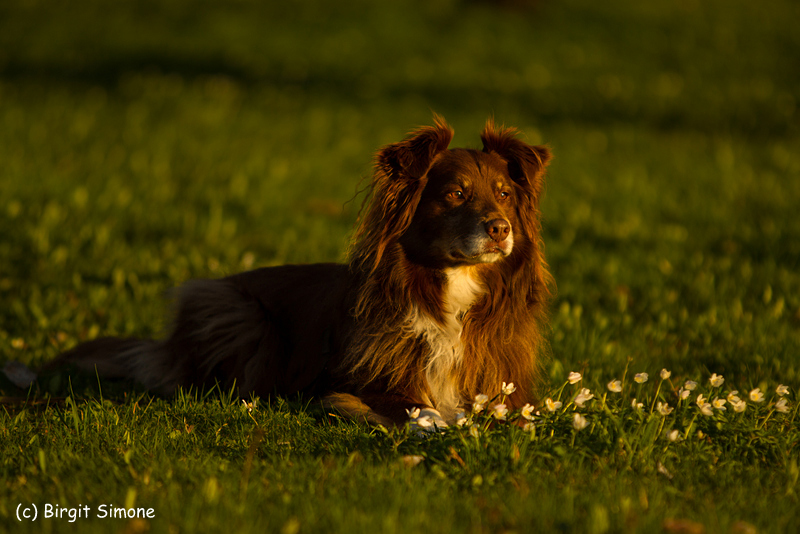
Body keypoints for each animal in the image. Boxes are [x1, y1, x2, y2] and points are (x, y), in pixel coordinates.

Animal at [51, 116, 552, 428]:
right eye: (455, 194)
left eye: (504, 194)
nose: (500, 229)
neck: (449, 290)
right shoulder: (368, 383)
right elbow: (421, 411)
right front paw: (439, 426)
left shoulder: (506, 387)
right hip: (236, 313)